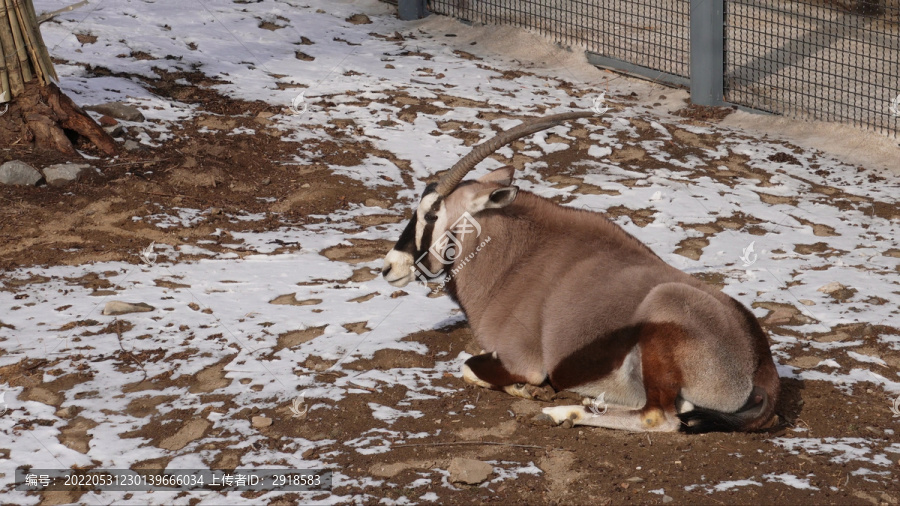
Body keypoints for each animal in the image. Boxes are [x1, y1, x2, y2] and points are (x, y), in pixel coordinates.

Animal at [380, 111, 780, 434]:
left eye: (432, 214)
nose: (389, 267)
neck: (515, 259)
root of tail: (760, 364)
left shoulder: (523, 361)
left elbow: (468, 367)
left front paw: (526, 390)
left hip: (663, 315)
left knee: (659, 417)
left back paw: (565, 413)